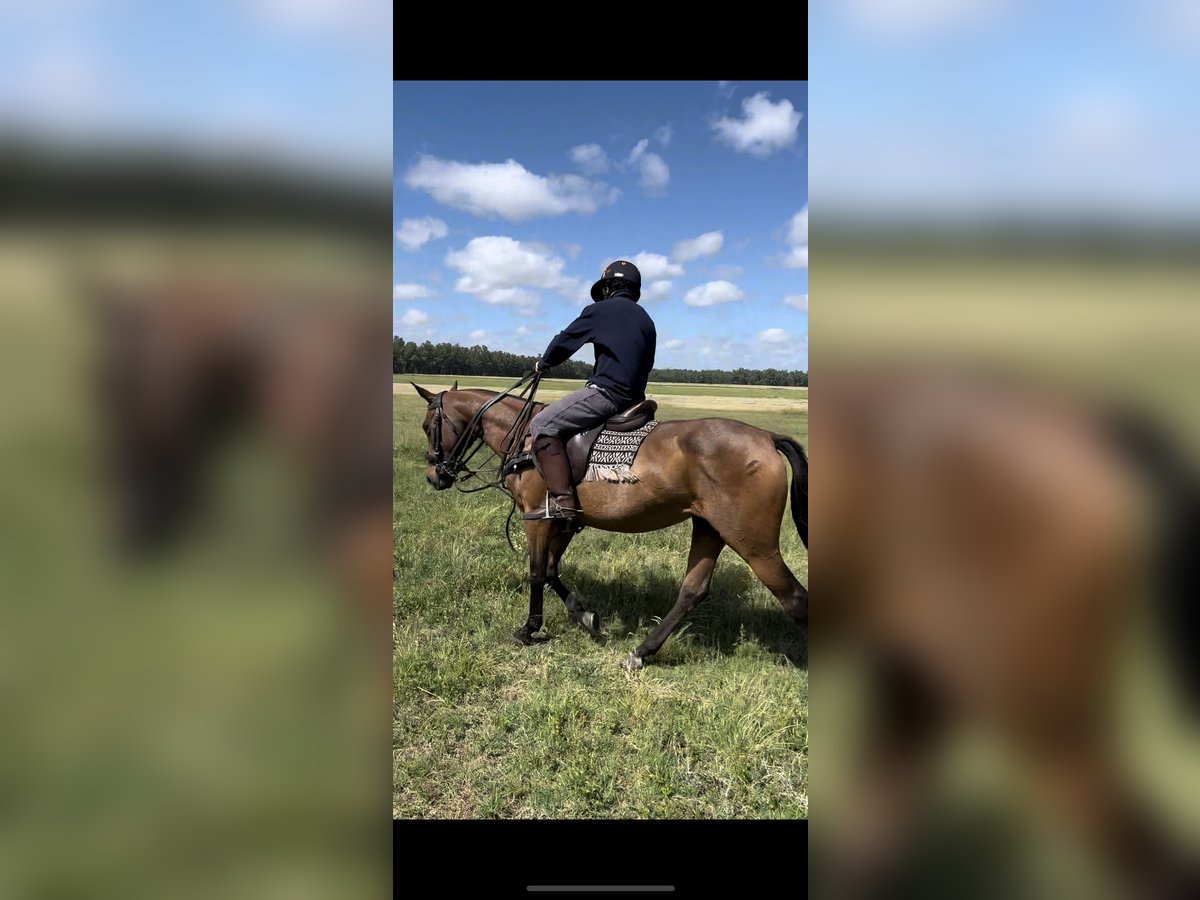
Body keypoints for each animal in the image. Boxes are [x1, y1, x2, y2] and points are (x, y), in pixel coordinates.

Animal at [408, 379, 811, 672]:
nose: (433, 477)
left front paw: (529, 629)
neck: (524, 438)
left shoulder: (537, 518)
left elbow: (537, 572)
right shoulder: (563, 521)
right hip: (710, 528)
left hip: (754, 543)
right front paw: (585, 617)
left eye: (428, 426)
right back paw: (642, 652)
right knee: (692, 591)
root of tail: (766, 438)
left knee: (794, 598)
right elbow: (552, 571)